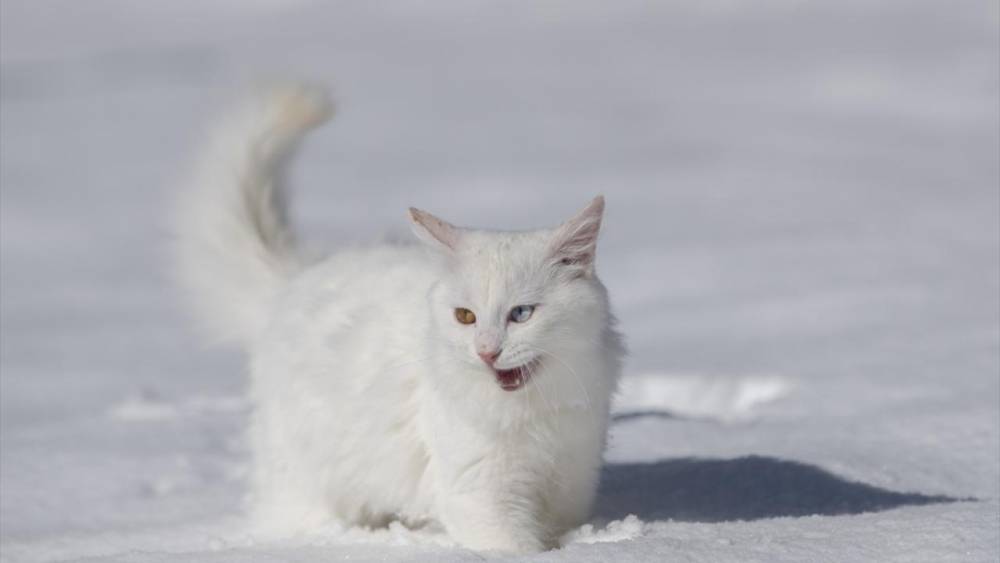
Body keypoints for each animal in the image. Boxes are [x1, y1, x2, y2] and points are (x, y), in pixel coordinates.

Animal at [174, 86, 624, 552]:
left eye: (521, 314)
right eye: (465, 316)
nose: (486, 351)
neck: (535, 412)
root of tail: (298, 276)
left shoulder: (569, 483)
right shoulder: (480, 495)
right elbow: (515, 547)